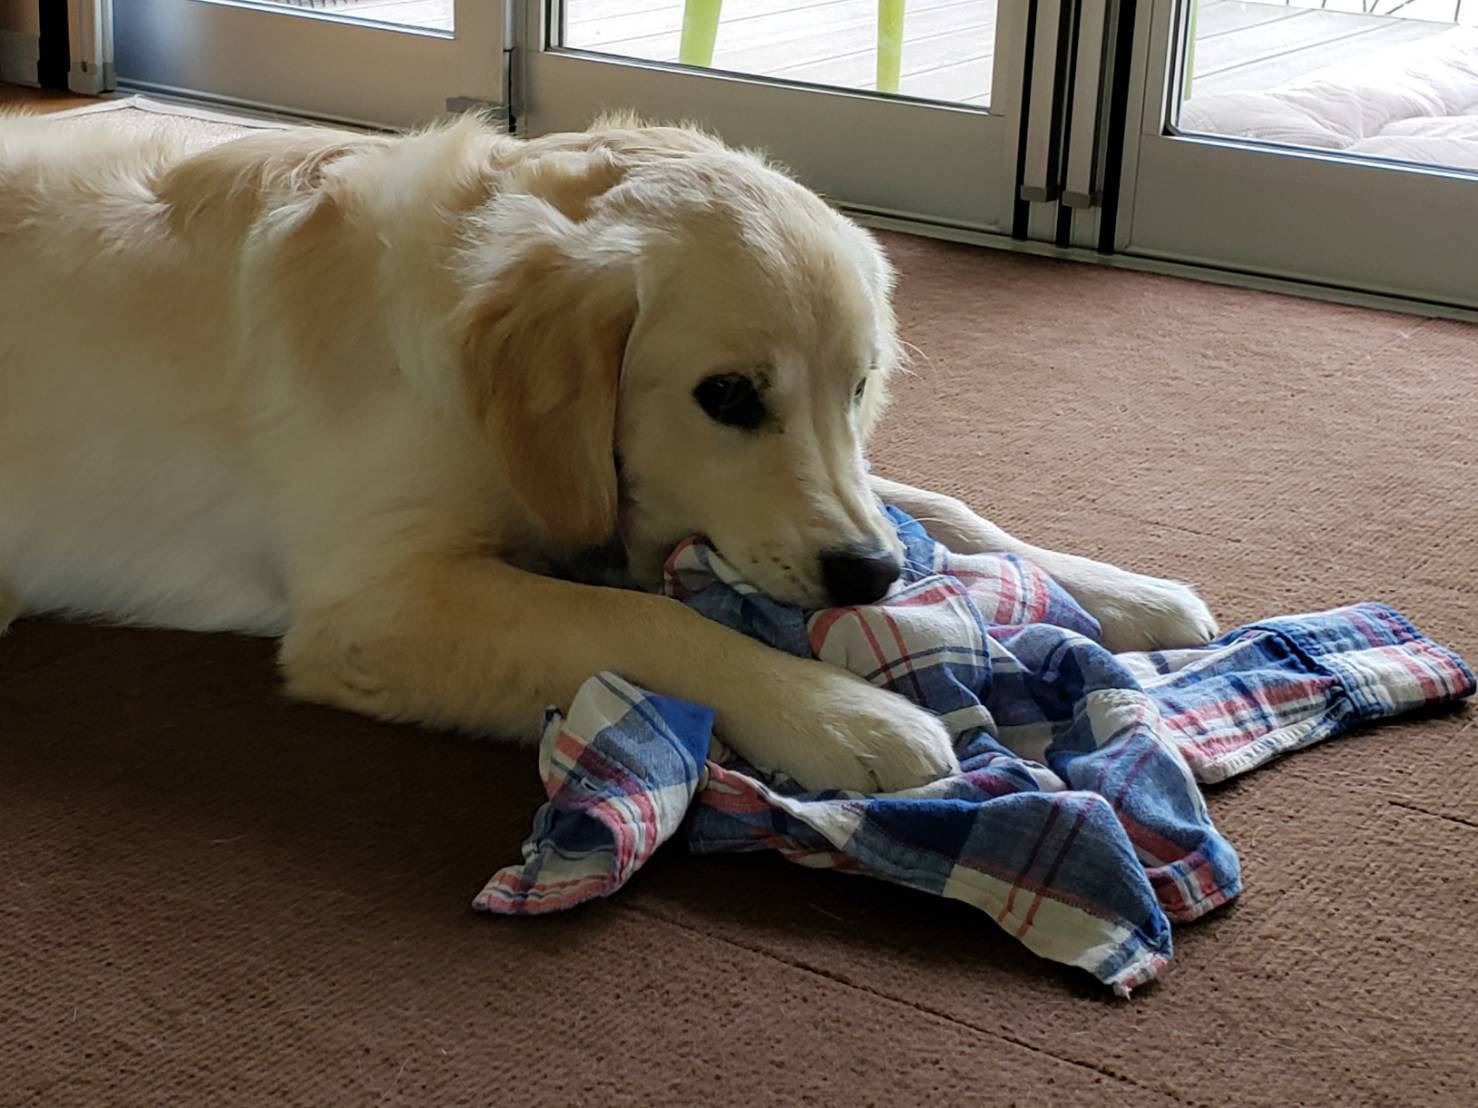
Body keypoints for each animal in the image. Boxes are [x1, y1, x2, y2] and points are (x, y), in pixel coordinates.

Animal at [0, 113, 1211, 791]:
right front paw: (846, 716)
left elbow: (945, 507)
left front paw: (1120, 589)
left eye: (860, 385)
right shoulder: (371, 604)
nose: (868, 575)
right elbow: (644, 619)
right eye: (726, 396)